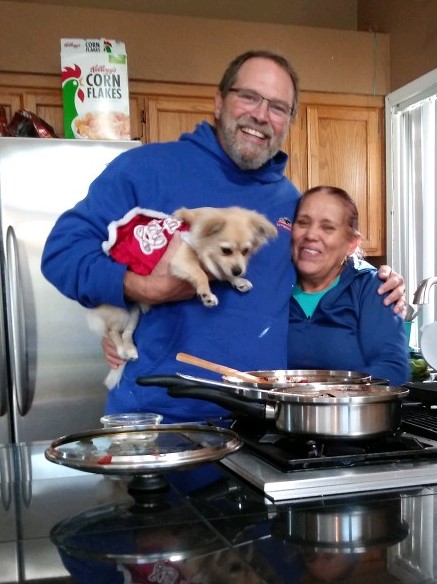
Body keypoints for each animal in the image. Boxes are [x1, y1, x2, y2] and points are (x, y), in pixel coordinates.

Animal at [87, 205, 276, 388]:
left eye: (246, 251)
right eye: (226, 250)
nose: (239, 270)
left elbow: (222, 272)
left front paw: (238, 280)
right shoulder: (181, 258)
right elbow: (201, 273)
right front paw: (206, 294)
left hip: (133, 312)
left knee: (126, 332)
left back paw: (130, 350)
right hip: (121, 310)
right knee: (111, 331)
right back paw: (121, 350)